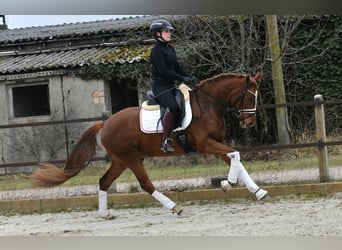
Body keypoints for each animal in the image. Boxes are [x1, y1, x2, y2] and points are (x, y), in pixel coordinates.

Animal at [31, 71, 268, 218]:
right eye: (248, 97)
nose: (249, 122)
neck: (208, 104)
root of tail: (106, 122)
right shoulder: (206, 144)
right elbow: (236, 155)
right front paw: (228, 183)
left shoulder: (218, 143)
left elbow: (236, 159)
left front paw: (257, 191)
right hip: (131, 158)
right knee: (145, 184)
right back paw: (176, 207)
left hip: (121, 160)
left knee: (104, 181)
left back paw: (104, 214)